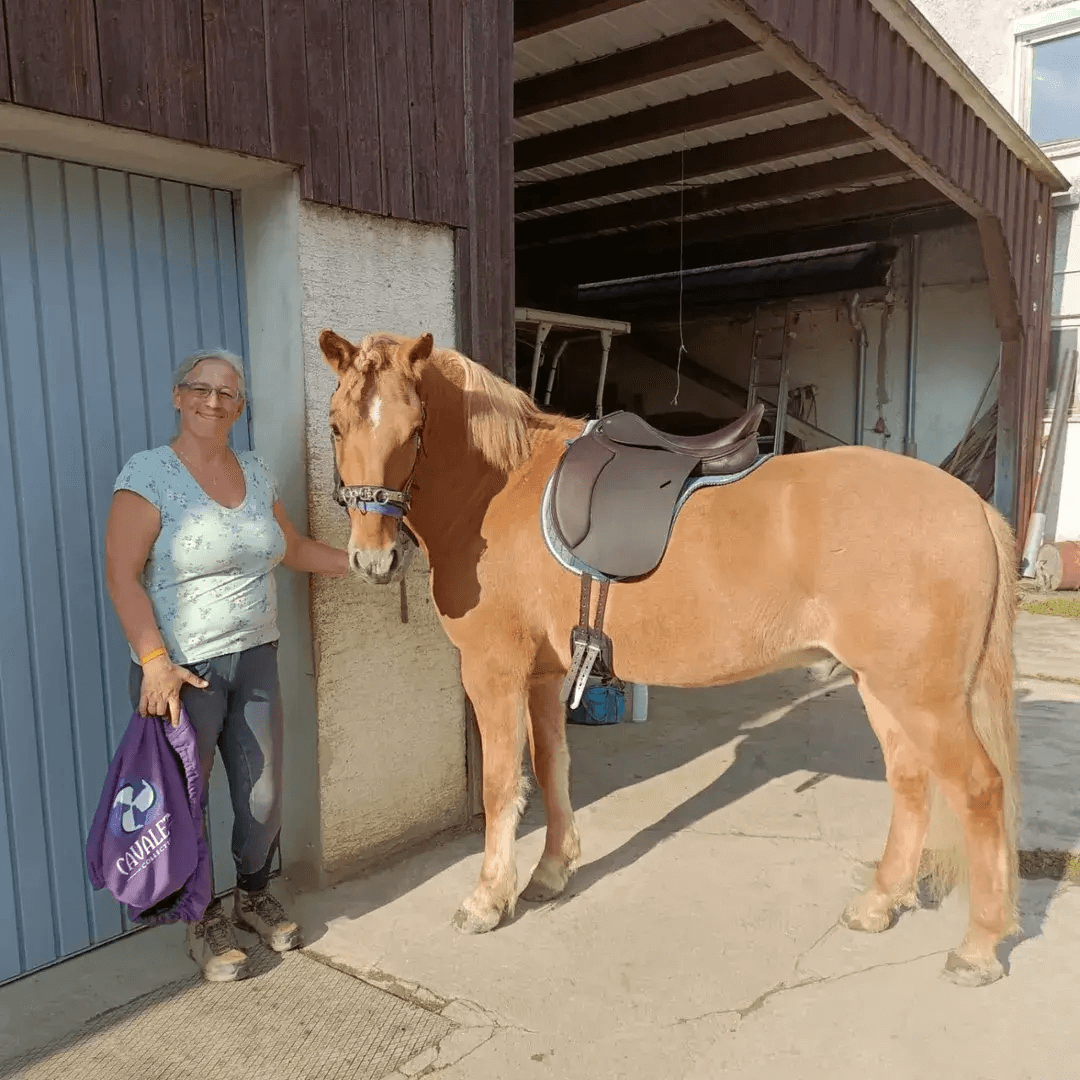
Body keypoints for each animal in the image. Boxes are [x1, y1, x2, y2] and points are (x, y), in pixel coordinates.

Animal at [319, 328, 1019, 988]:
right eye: (336, 424)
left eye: (414, 428)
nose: (373, 559)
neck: (500, 487)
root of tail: (973, 507)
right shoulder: (546, 676)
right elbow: (551, 768)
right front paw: (551, 872)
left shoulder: (494, 673)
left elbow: (500, 785)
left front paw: (488, 899)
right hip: (884, 687)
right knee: (911, 783)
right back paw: (879, 904)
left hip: (923, 697)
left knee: (979, 789)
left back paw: (978, 948)